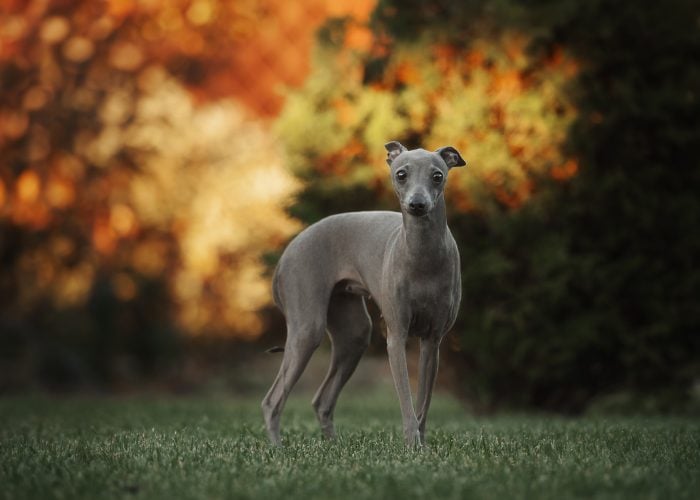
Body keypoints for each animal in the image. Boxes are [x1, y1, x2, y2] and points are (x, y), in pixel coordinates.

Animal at [262, 141, 464, 446]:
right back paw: (277, 448)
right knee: (272, 400)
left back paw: (332, 445)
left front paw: (422, 445)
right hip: (307, 328)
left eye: (437, 176)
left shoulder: (433, 340)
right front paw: (412, 445)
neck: (421, 254)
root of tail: (288, 252)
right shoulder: (396, 336)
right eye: (401, 174)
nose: (417, 205)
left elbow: (422, 405)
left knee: (321, 401)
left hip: (353, 333)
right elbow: (406, 401)